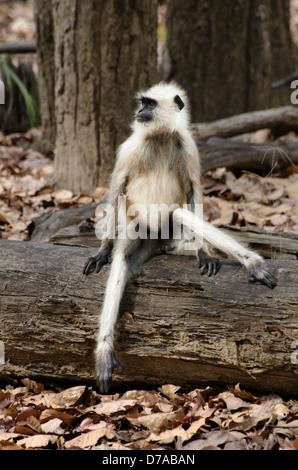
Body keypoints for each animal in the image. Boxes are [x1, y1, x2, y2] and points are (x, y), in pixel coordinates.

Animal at [82, 81, 278, 392]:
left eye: (149, 104)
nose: (140, 111)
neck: (160, 137)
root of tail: (157, 239)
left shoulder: (186, 146)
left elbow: (193, 192)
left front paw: (205, 253)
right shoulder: (130, 148)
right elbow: (115, 193)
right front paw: (102, 250)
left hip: (172, 235)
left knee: (179, 213)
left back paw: (251, 263)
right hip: (140, 228)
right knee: (123, 258)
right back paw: (104, 350)